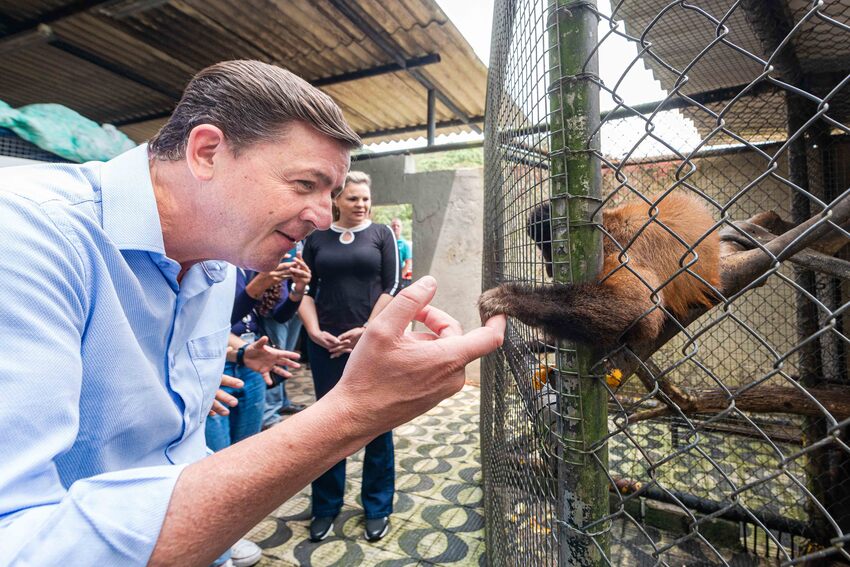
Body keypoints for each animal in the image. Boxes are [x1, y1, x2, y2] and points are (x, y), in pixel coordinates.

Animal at [476, 193, 716, 348]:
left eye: (548, 252)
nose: (548, 268)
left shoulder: (622, 250)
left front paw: (511, 298)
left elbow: (639, 307)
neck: (608, 228)